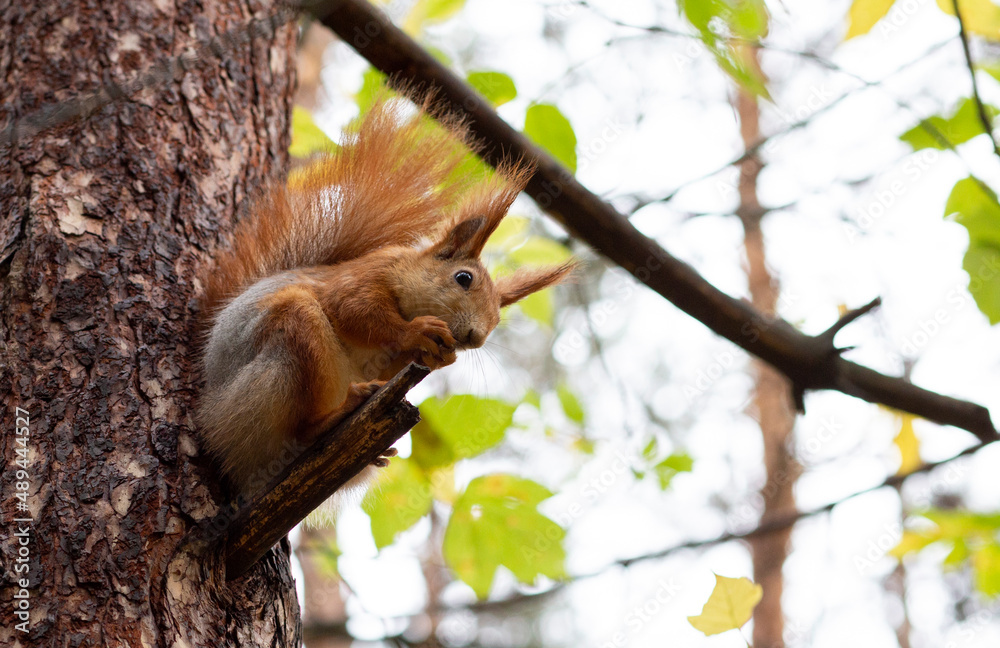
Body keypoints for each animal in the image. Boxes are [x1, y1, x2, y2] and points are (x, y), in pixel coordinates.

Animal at [196, 98, 576, 496]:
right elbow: (352, 309)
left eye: (499, 319)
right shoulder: (361, 277)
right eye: (463, 278)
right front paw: (416, 332)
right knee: (301, 428)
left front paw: (439, 356)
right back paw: (337, 413)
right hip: (280, 355)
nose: (475, 337)